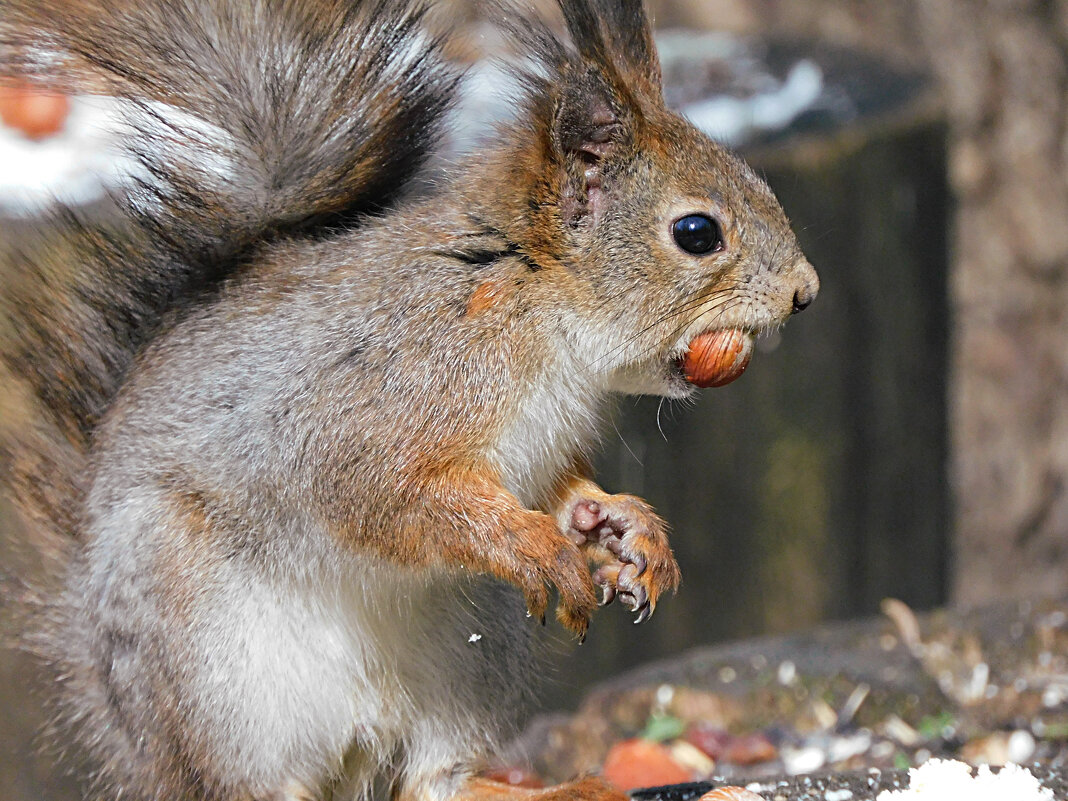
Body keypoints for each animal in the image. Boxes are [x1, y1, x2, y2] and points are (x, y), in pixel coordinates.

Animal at [0, 1, 815, 801]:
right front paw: (534, 545)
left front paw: (625, 531)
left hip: (469, 647)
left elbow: (564, 494)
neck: (536, 306)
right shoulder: (393, 390)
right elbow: (383, 493)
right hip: (207, 662)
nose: (805, 294)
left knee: (435, 782)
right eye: (697, 232)